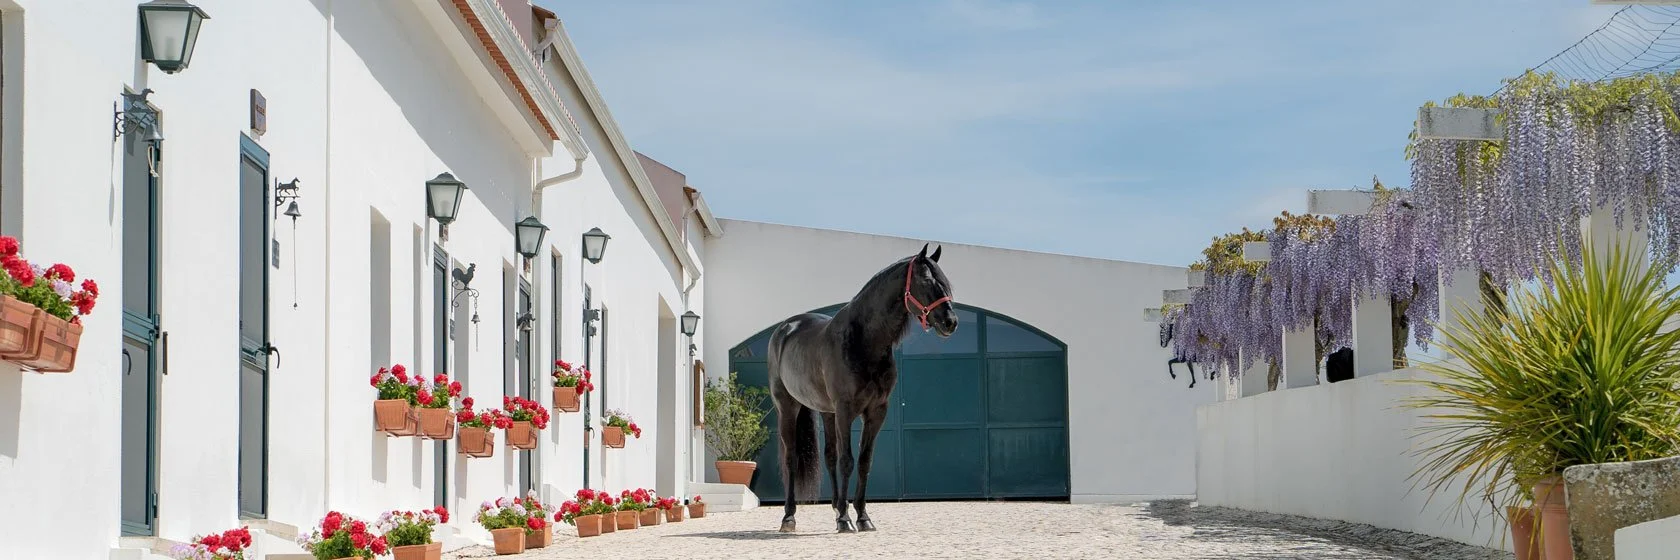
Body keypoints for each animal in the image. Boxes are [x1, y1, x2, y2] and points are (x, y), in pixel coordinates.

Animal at [766, 244, 957, 534]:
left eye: (945, 282)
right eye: (926, 281)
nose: (950, 322)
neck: (864, 340)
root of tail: (785, 329)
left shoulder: (876, 411)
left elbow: (865, 461)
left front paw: (861, 517)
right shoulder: (846, 410)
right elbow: (848, 460)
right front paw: (846, 520)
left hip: (827, 412)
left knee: (829, 456)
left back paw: (836, 508)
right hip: (787, 406)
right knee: (792, 458)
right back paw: (789, 517)